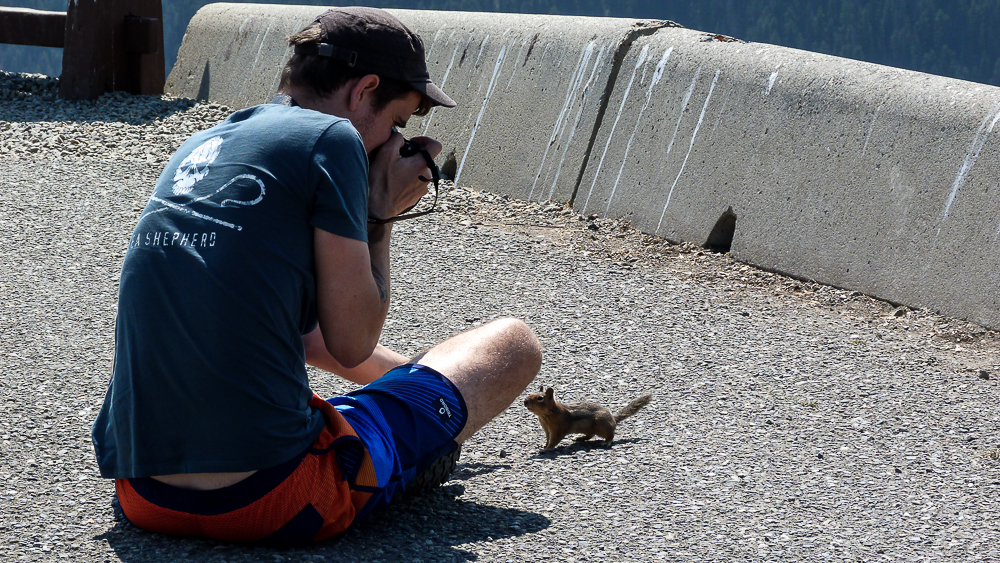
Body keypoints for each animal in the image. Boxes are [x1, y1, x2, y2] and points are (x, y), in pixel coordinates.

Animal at [524, 386, 656, 452]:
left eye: (540, 398)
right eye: (529, 393)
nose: (524, 401)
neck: (545, 416)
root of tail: (613, 419)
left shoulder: (558, 429)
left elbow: (554, 440)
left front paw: (546, 449)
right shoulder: (547, 429)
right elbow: (548, 438)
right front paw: (543, 445)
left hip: (601, 425)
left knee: (610, 434)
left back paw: (606, 442)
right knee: (590, 435)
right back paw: (579, 438)